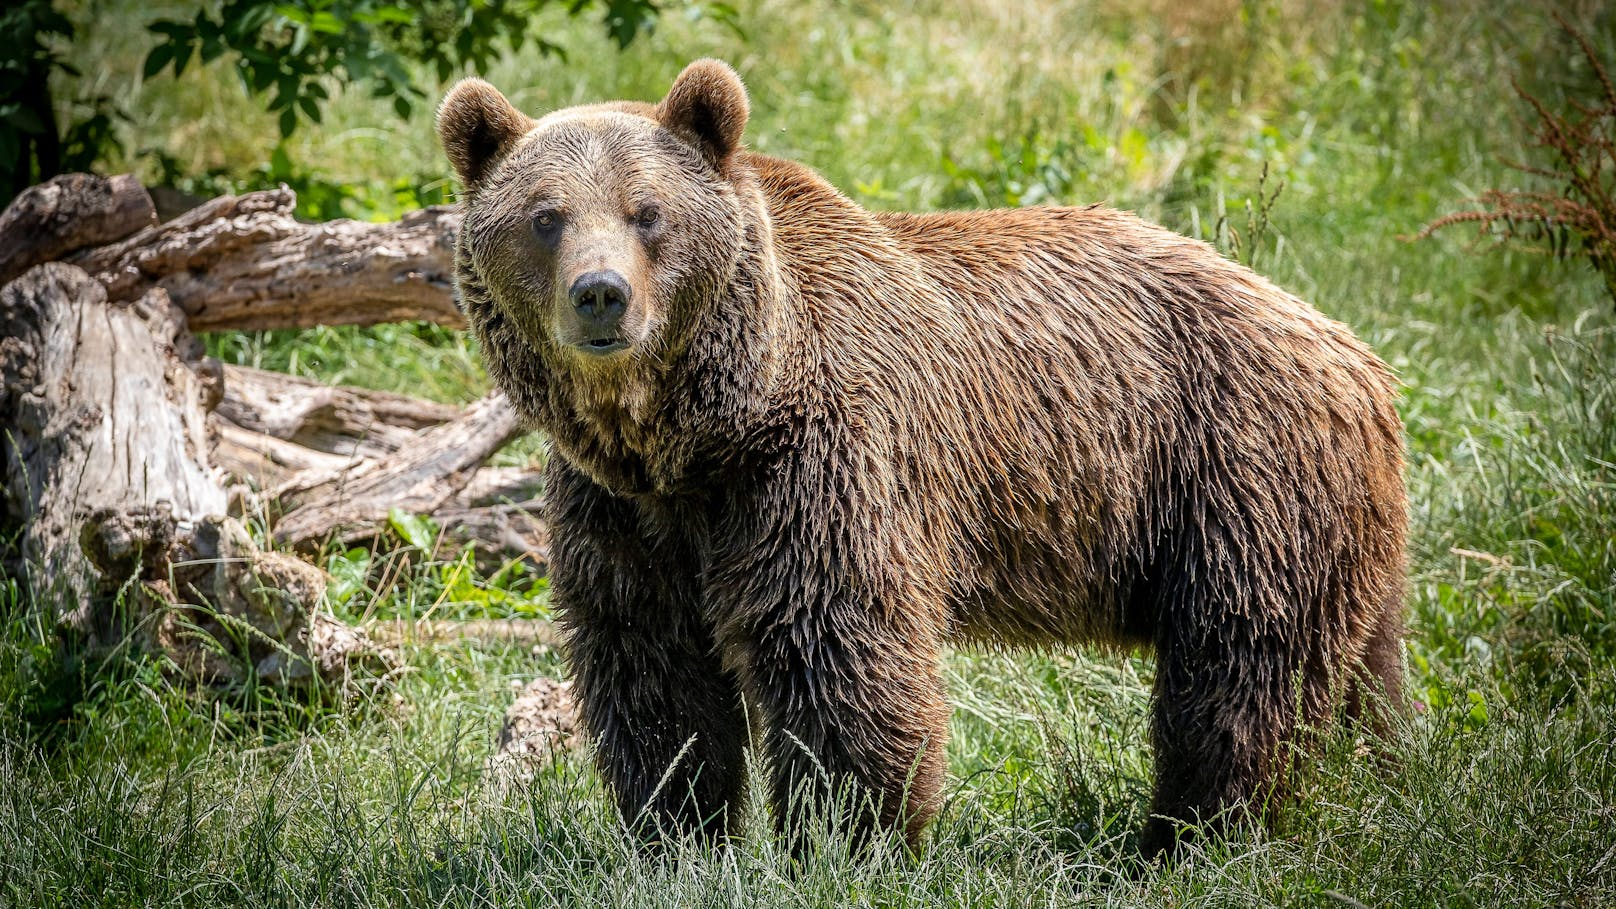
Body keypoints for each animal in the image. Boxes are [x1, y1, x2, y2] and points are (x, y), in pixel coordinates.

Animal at [436, 58, 1409, 854]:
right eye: (546, 217)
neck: (699, 430)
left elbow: (833, 643)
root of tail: (1357, 356)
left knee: (1237, 672)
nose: (601, 296)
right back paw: (1392, 780)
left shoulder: (820, 456)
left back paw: (1186, 834)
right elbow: (650, 661)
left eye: (650, 212)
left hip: (1235, 474)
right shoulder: (622, 506)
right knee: (1369, 667)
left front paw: (847, 835)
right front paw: (678, 832)